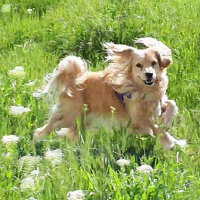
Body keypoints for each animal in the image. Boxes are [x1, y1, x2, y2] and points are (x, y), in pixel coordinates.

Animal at [34, 37, 184, 149]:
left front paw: (168, 119)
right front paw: (171, 142)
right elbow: (158, 129)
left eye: (154, 63)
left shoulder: (157, 104)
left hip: (80, 120)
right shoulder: (139, 120)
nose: (149, 74)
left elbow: (172, 103)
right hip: (69, 115)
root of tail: (74, 79)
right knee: (49, 125)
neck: (144, 90)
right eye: (138, 65)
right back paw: (38, 139)